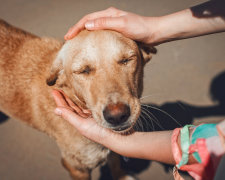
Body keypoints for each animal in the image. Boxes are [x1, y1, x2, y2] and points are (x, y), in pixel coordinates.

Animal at [0, 19, 155, 179]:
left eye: (126, 60)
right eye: (83, 71)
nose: (117, 116)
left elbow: (115, 161)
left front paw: (120, 176)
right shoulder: (77, 168)